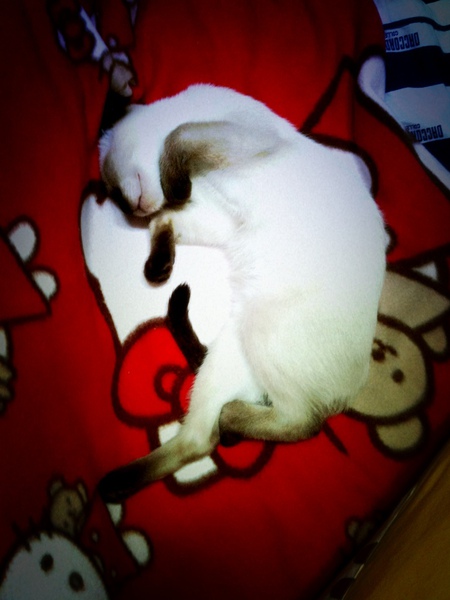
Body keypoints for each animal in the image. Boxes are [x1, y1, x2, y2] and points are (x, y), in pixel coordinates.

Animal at [98, 84, 386, 502]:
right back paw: (115, 484)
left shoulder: (232, 141)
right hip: (235, 348)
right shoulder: (219, 221)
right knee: (201, 439)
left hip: (263, 331)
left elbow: (177, 139)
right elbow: (164, 221)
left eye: (117, 195)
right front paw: (158, 267)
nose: (131, 212)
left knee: (302, 422)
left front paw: (172, 188)